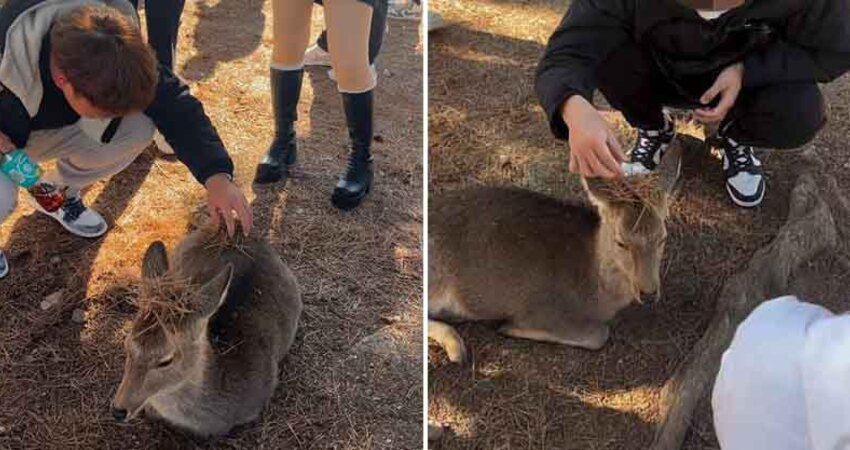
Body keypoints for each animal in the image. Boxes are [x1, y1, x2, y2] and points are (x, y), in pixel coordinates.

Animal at [428, 142, 682, 363]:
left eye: (662, 238)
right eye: (621, 242)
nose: (648, 292)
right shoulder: (542, 307)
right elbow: (599, 334)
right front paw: (510, 327)